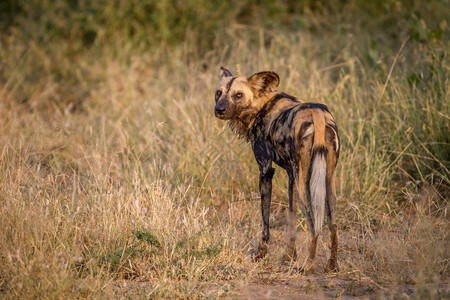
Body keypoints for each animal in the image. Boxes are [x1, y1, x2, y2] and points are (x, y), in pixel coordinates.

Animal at [216, 67, 340, 274]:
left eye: (238, 95)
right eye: (219, 93)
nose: (219, 110)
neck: (261, 106)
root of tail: (317, 113)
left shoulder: (265, 171)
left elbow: (265, 221)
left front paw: (260, 255)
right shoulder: (291, 176)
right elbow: (291, 218)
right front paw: (289, 257)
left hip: (304, 186)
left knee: (314, 226)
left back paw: (308, 267)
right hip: (327, 183)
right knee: (333, 224)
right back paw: (332, 266)